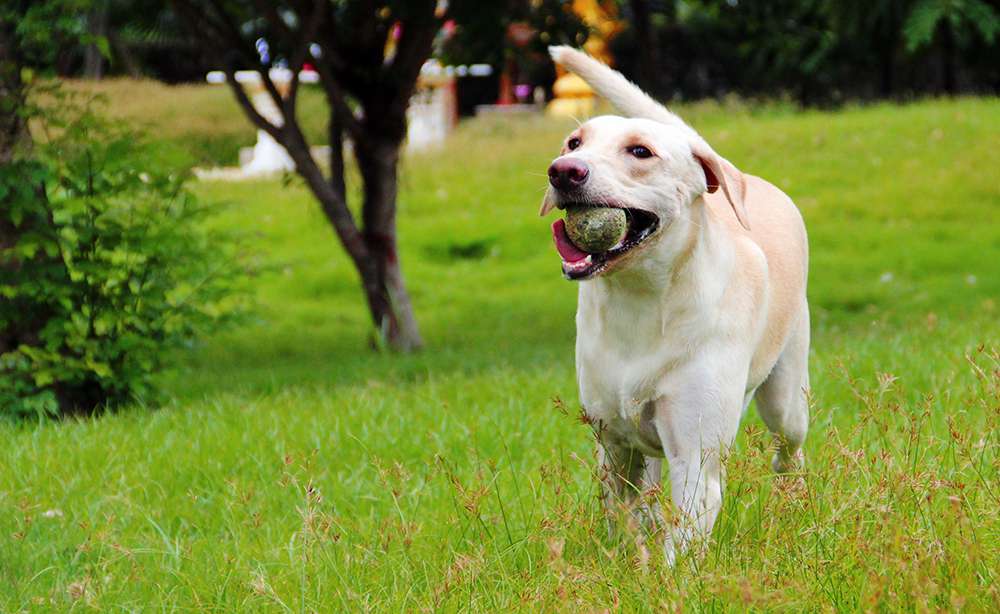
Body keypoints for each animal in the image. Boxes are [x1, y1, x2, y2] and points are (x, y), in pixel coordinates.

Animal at [544, 48, 808, 564]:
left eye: (640, 152)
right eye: (573, 142)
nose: (564, 170)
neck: (641, 300)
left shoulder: (695, 457)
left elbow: (680, 543)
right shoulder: (615, 445)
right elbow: (627, 520)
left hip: (787, 397)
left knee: (789, 449)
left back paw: (794, 502)